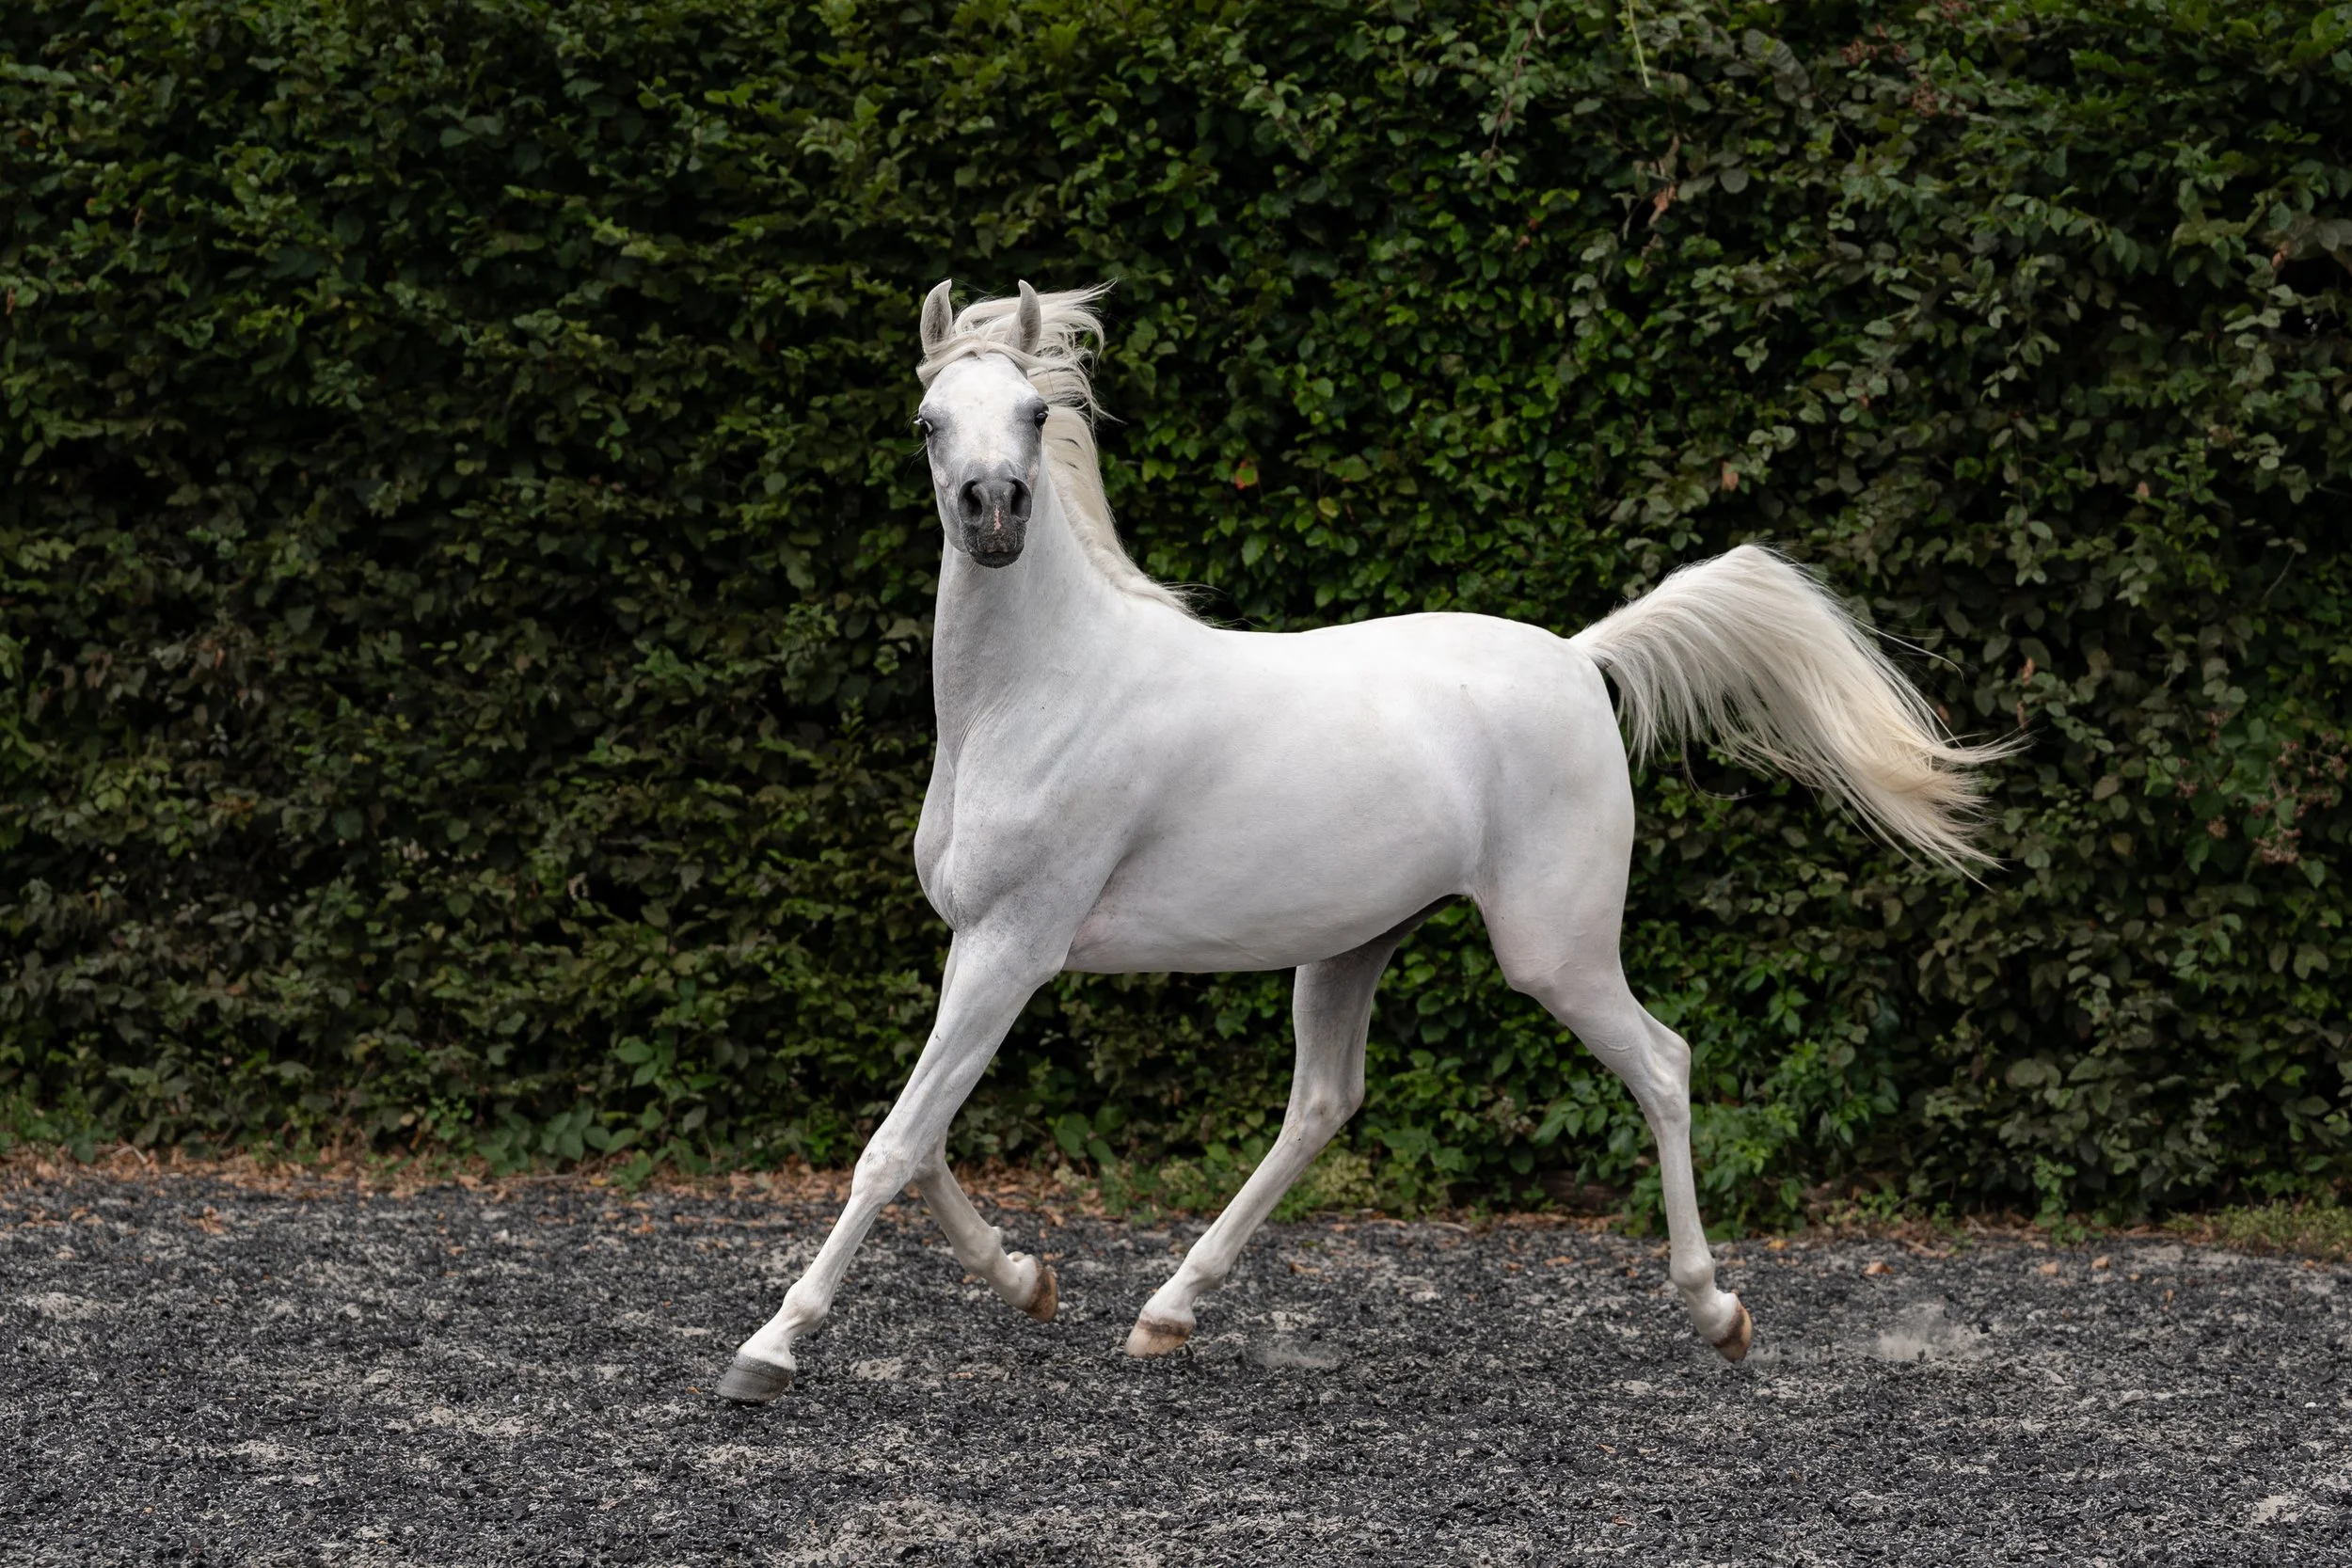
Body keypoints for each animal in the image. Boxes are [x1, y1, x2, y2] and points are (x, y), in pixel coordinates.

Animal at [715, 281, 2010, 1403]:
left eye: (1034, 413)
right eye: (929, 420)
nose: (993, 514)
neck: (1036, 695)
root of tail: (1578, 654)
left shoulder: (1012, 948)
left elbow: (893, 1143)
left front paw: (770, 1345)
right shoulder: (975, 947)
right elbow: (927, 1137)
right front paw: (1027, 1279)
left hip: (1554, 950)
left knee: (1663, 1063)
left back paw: (1717, 1311)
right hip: (1352, 944)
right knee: (1324, 1103)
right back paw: (1166, 1310)